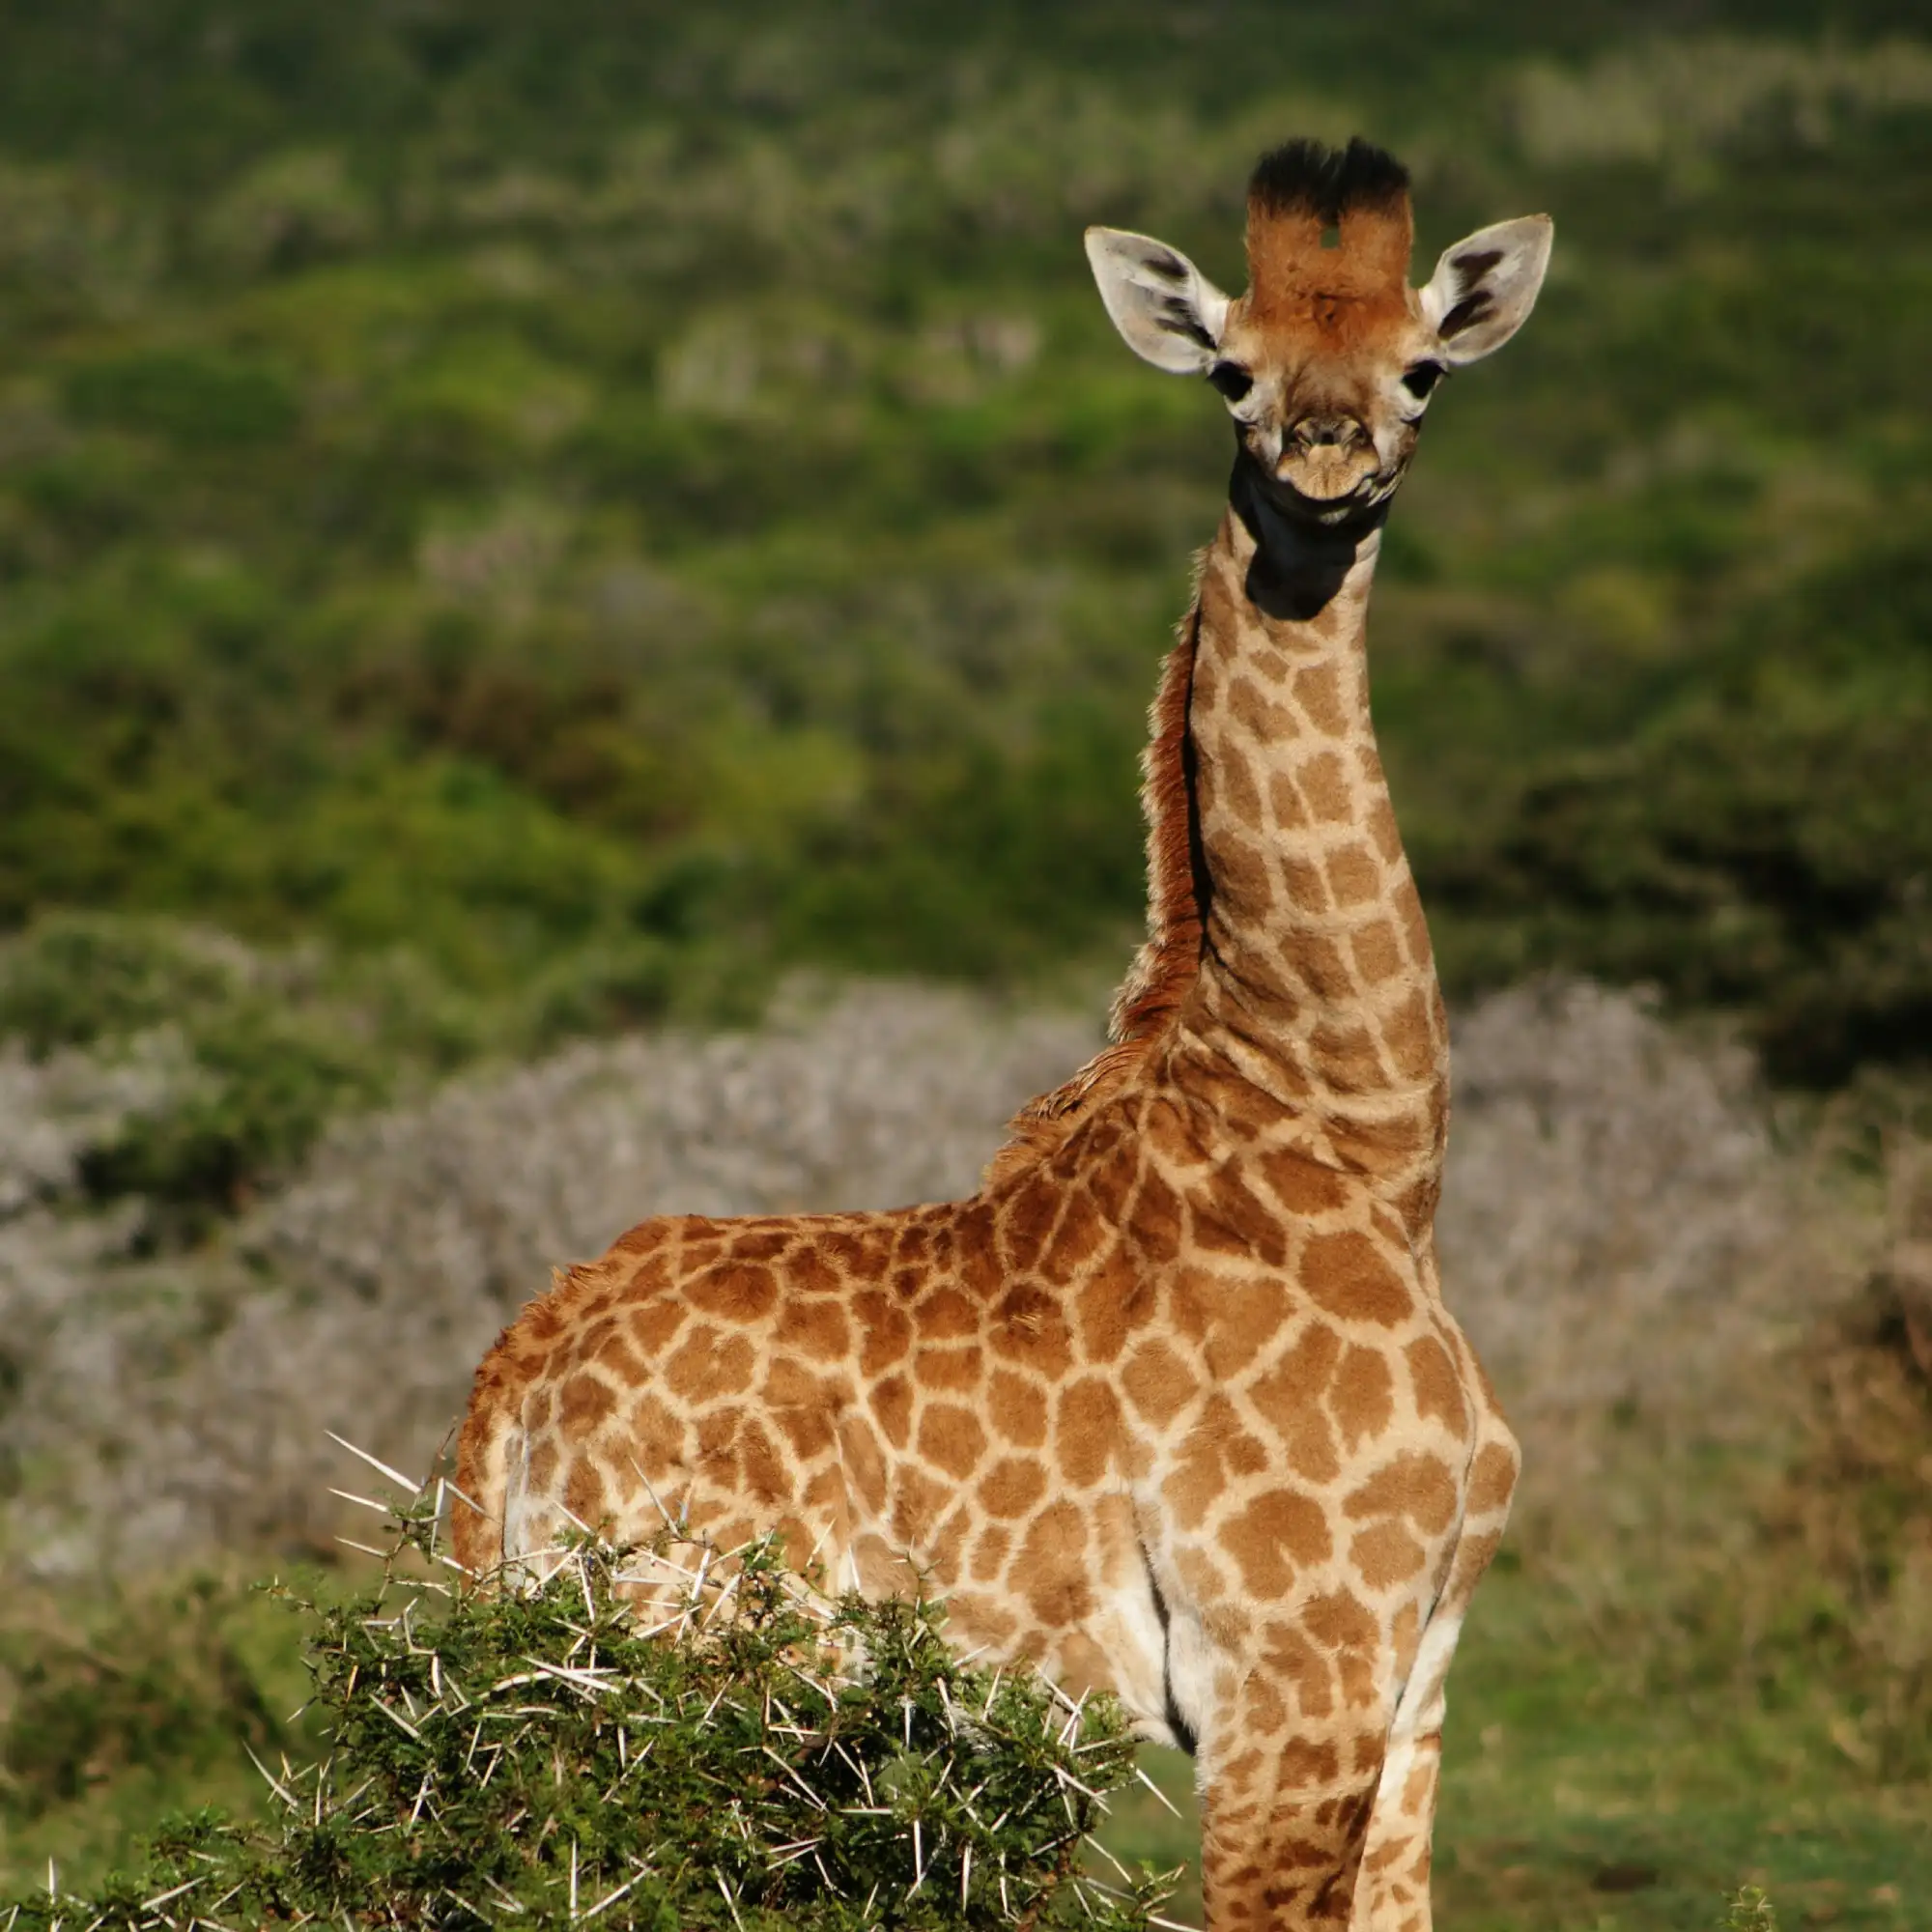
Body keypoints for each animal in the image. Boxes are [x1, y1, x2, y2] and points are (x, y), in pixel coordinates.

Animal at [452, 140, 1553, 1932]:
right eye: (1232, 373)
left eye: (1423, 370)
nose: (1325, 467)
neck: (1357, 1138)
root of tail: (517, 1379)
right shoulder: (1290, 1672)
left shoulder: (1420, 1672)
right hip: (690, 1669)